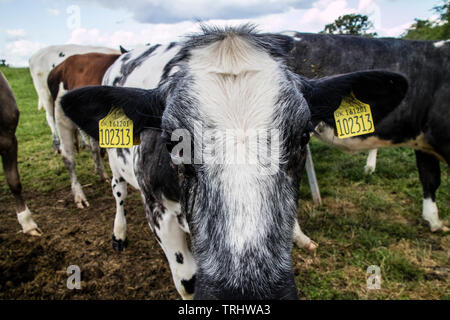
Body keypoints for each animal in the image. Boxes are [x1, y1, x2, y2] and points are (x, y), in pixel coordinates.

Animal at [46, 52, 121, 208]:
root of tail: (59, 67)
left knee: (94, 148)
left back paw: (102, 174)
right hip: (62, 118)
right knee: (68, 157)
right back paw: (79, 196)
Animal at [59, 25, 408, 300]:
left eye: (303, 136)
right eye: (173, 143)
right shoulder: (157, 209)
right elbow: (187, 281)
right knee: (118, 190)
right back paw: (119, 233)